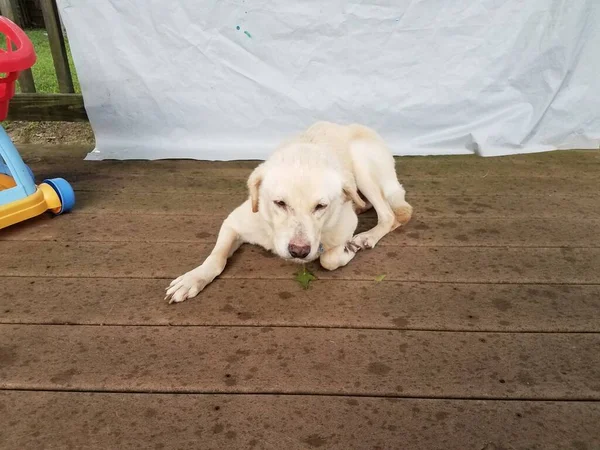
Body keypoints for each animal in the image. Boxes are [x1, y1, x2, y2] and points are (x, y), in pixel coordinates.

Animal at [165, 120, 412, 302]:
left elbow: (329, 259)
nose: (299, 252)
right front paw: (194, 278)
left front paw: (348, 249)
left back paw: (367, 236)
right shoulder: (233, 222)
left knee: (391, 215)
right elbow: (216, 257)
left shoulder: (345, 224)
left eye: (320, 206)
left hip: (362, 166)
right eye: (280, 203)